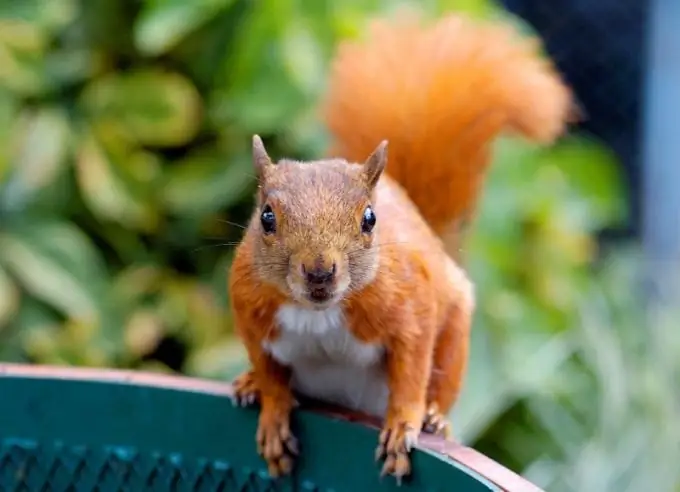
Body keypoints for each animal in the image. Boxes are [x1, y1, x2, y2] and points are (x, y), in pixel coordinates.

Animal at [228, 10, 572, 484]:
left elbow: (411, 367)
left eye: (369, 219)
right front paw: (273, 415)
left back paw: (435, 418)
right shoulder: (249, 309)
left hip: (454, 337)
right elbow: (270, 373)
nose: (319, 272)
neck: (318, 313)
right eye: (266, 217)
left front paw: (404, 424)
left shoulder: (410, 305)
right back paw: (247, 385)